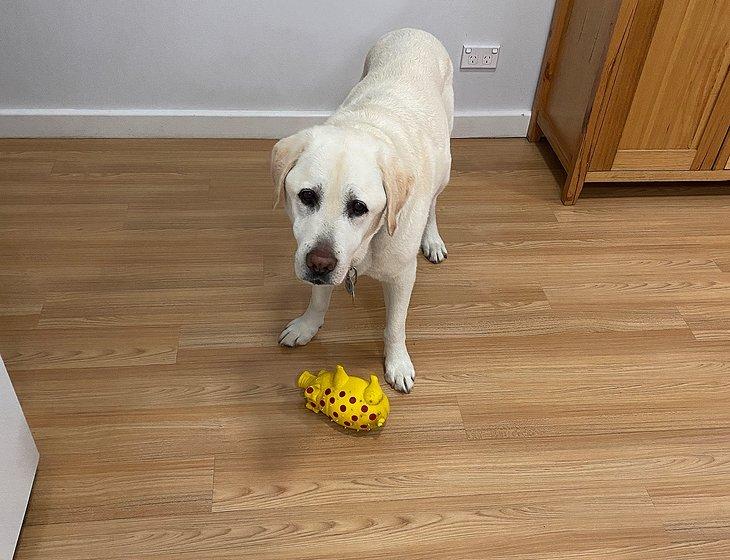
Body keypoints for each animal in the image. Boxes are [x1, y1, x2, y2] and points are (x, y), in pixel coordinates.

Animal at [270, 27, 452, 394]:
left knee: (434, 203)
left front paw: (397, 363)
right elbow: (318, 297)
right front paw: (308, 325)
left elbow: (395, 324)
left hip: (446, 165)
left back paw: (432, 239)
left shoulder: (402, 275)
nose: (320, 263)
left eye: (359, 207)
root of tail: (415, 29)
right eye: (307, 196)